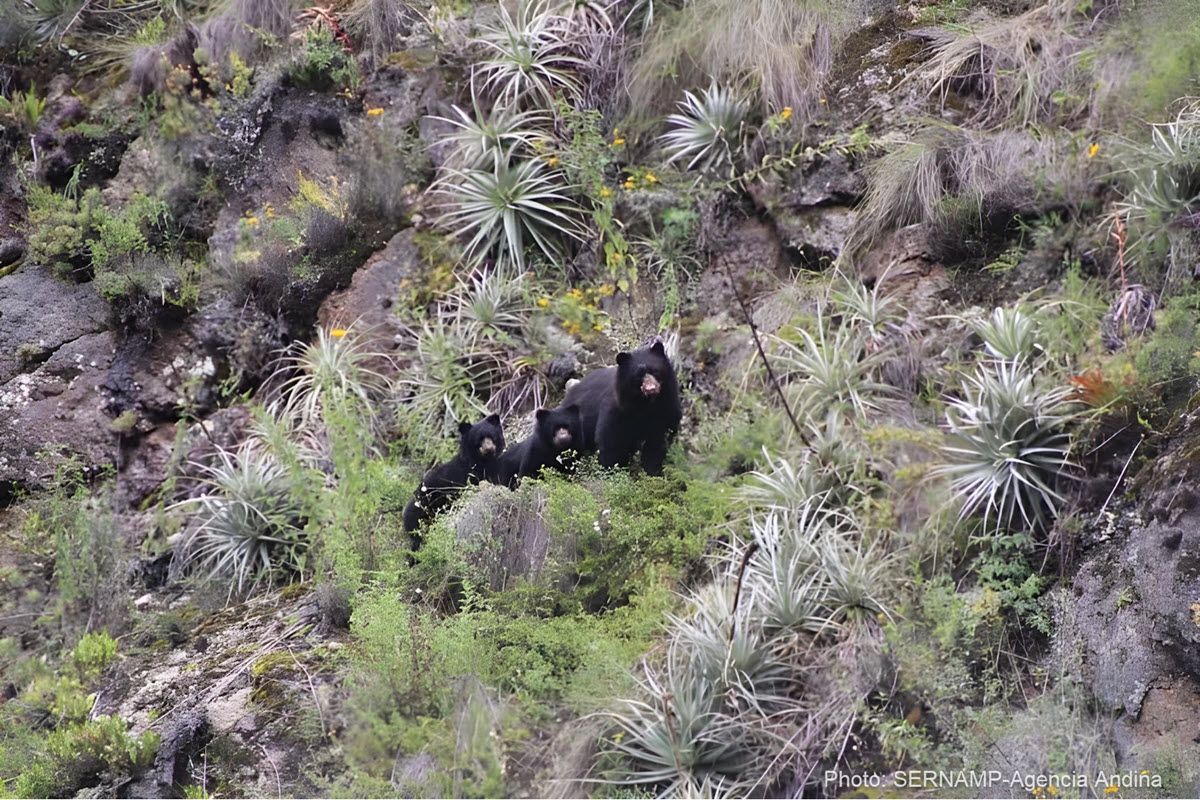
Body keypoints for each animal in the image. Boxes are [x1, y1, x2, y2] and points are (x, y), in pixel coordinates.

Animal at [561, 339, 682, 475]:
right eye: (638, 375)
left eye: (655, 371)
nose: (651, 389)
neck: (646, 405)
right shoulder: (618, 411)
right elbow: (612, 443)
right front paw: (610, 471)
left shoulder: (667, 407)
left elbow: (657, 442)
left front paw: (652, 472)